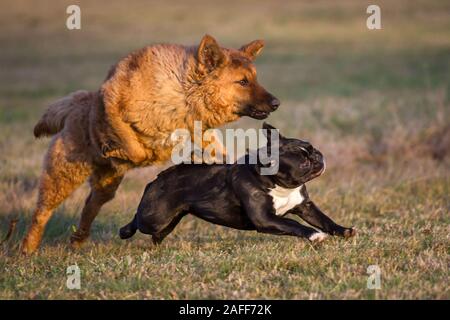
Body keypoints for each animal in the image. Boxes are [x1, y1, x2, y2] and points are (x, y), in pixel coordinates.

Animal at [23, 35, 282, 254]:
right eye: (243, 81)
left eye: (254, 79)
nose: (276, 103)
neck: (183, 93)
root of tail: (80, 102)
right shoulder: (113, 104)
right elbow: (135, 149)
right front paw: (122, 150)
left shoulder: (201, 132)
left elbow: (222, 155)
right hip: (63, 175)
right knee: (41, 213)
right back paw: (27, 249)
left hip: (105, 186)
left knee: (89, 206)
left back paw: (78, 239)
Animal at [119, 124, 356, 244]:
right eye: (304, 162)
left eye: (312, 149)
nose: (319, 157)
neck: (280, 186)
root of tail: (158, 178)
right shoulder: (265, 219)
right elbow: (293, 223)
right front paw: (313, 235)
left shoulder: (305, 206)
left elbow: (324, 220)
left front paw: (344, 231)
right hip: (154, 216)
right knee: (138, 219)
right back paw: (125, 231)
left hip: (170, 220)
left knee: (157, 234)